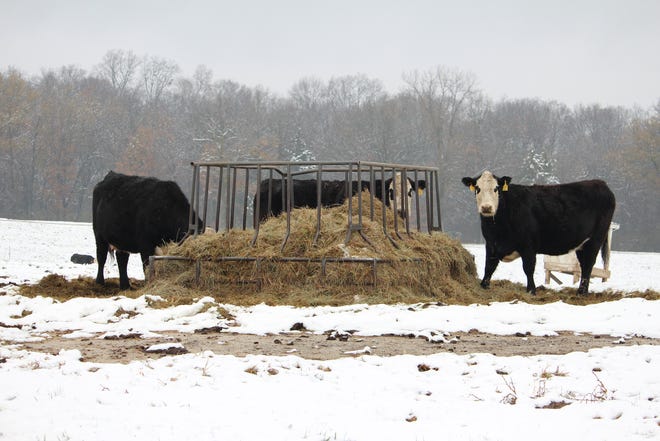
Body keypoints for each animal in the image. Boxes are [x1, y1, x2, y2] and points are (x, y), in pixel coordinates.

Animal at [462, 170, 616, 294]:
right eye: (477, 188)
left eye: (496, 188)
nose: (486, 207)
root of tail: (601, 183)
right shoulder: (491, 243)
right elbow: (489, 267)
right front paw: (483, 285)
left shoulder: (528, 245)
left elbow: (528, 268)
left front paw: (531, 290)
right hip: (581, 243)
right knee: (584, 265)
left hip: (595, 239)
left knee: (588, 264)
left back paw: (582, 292)